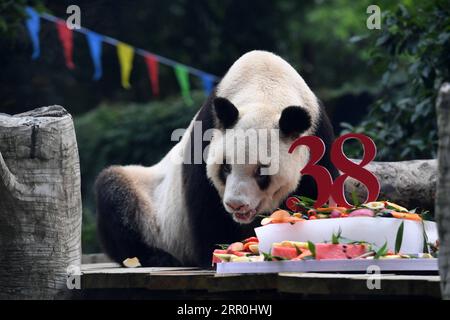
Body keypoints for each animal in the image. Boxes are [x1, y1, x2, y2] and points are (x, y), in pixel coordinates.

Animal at [95, 50, 338, 266]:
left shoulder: (318, 136)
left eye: (261, 171)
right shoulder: (207, 134)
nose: (236, 205)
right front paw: (219, 251)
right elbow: (207, 208)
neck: (265, 89)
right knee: (114, 194)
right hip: (149, 205)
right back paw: (158, 257)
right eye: (226, 168)